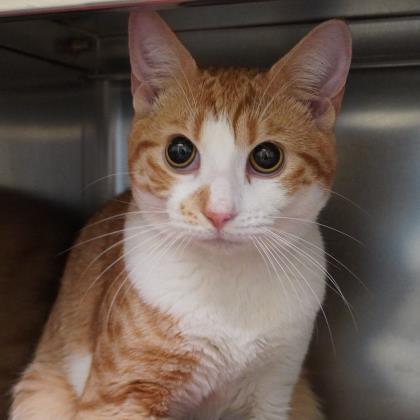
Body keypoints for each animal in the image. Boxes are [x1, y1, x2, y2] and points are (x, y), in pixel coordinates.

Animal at [10, 10, 351, 420]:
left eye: (267, 157)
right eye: (179, 151)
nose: (218, 212)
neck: (227, 291)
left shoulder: (274, 392)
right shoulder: (119, 396)